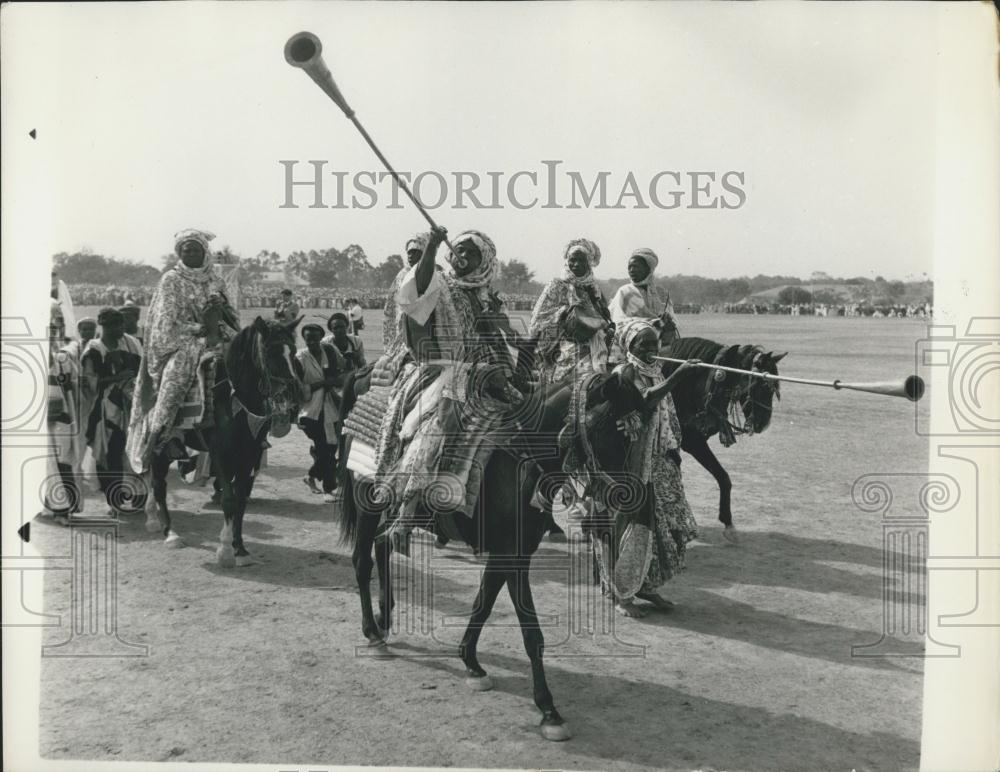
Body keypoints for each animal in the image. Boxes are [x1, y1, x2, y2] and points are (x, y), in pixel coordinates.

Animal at [143, 316, 302, 568]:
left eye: (293, 351)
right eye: (270, 350)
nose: (294, 396)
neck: (235, 401)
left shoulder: (250, 455)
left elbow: (241, 501)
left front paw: (240, 549)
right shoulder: (220, 455)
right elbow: (228, 500)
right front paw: (225, 550)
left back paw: (152, 519)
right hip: (159, 447)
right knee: (158, 484)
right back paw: (170, 533)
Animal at [336, 366, 648, 740]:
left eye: (635, 438)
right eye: (606, 430)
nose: (627, 499)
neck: (520, 461)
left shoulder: (511, 554)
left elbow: (483, 604)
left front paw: (471, 662)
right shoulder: (511, 557)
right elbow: (531, 632)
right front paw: (548, 710)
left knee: (383, 545)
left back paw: (385, 620)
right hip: (367, 501)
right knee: (362, 560)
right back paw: (372, 633)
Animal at [660, 338, 784, 544]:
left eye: (775, 387)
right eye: (762, 386)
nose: (764, 423)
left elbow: (723, 477)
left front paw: (728, 523)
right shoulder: (692, 441)